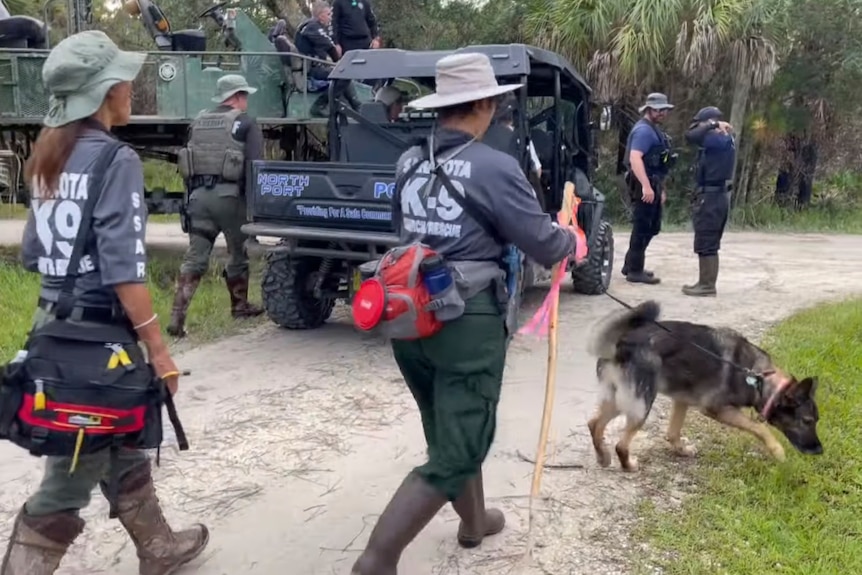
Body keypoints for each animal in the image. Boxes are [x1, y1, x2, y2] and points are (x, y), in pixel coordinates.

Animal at [588, 302, 824, 472]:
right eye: (807, 421)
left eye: (815, 421)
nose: (820, 450)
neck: (759, 378)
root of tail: (623, 342)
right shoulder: (718, 410)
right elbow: (759, 428)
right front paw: (777, 451)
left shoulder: (681, 401)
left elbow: (673, 433)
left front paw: (681, 450)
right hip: (641, 403)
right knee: (621, 444)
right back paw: (628, 466)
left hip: (621, 399)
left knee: (594, 424)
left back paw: (603, 456)